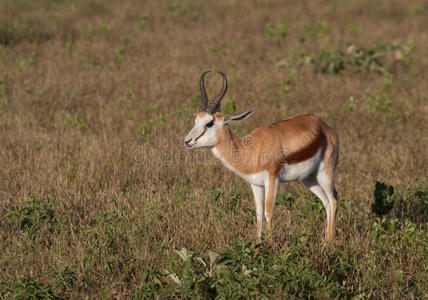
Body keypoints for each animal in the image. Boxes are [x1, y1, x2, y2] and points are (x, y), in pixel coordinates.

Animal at [184, 71, 338, 244]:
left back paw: (330, 244)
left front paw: (271, 245)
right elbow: (258, 213)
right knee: (326, 202)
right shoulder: (255, 184)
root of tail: (323, 124)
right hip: (309, 179)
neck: (251, 152)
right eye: (196, 120)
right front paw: (257, 245)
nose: (187, 141)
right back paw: (325, 242)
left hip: (325, 173)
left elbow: (268, 211)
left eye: (209, 123)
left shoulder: (272, 179)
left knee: (333, 200)